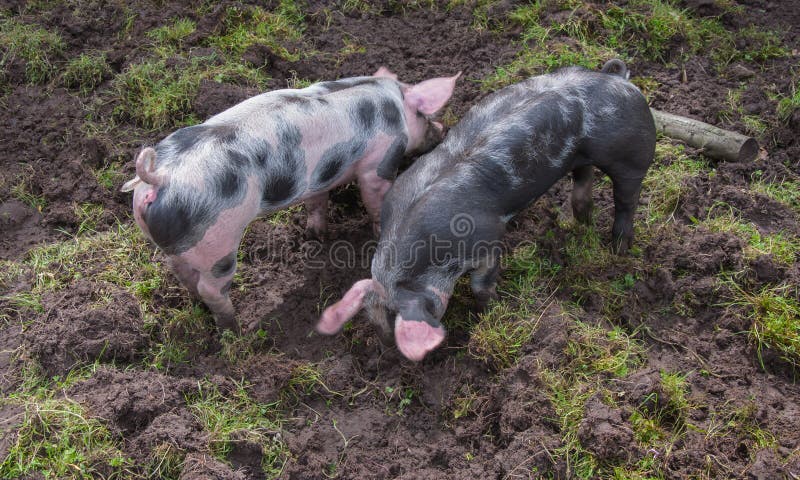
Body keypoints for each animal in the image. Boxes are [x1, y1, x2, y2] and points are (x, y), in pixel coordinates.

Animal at [118, 68, 456, 334]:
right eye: (426, 114)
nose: (443, 129)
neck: (393, 102)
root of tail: (161, 176)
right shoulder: (378, 163)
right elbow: (375, 199)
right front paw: (376, 231)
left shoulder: (319, 175)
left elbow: (317, 202)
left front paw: (316, 236)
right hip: (218, 244)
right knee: (211, 287)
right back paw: (235, 329)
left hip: (177, 243)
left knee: (181, 272)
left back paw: (199, 306)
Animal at [318, 59, 656, 360]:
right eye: (372, 321)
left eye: (394, 319)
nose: (390, 355)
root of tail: (617, 78)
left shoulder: (487, 238)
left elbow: (481, 284)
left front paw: (492, 308)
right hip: (581, 158)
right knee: (584, 183)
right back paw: (580, 224)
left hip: (632, 154)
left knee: (627, 199)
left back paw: (619, 247)